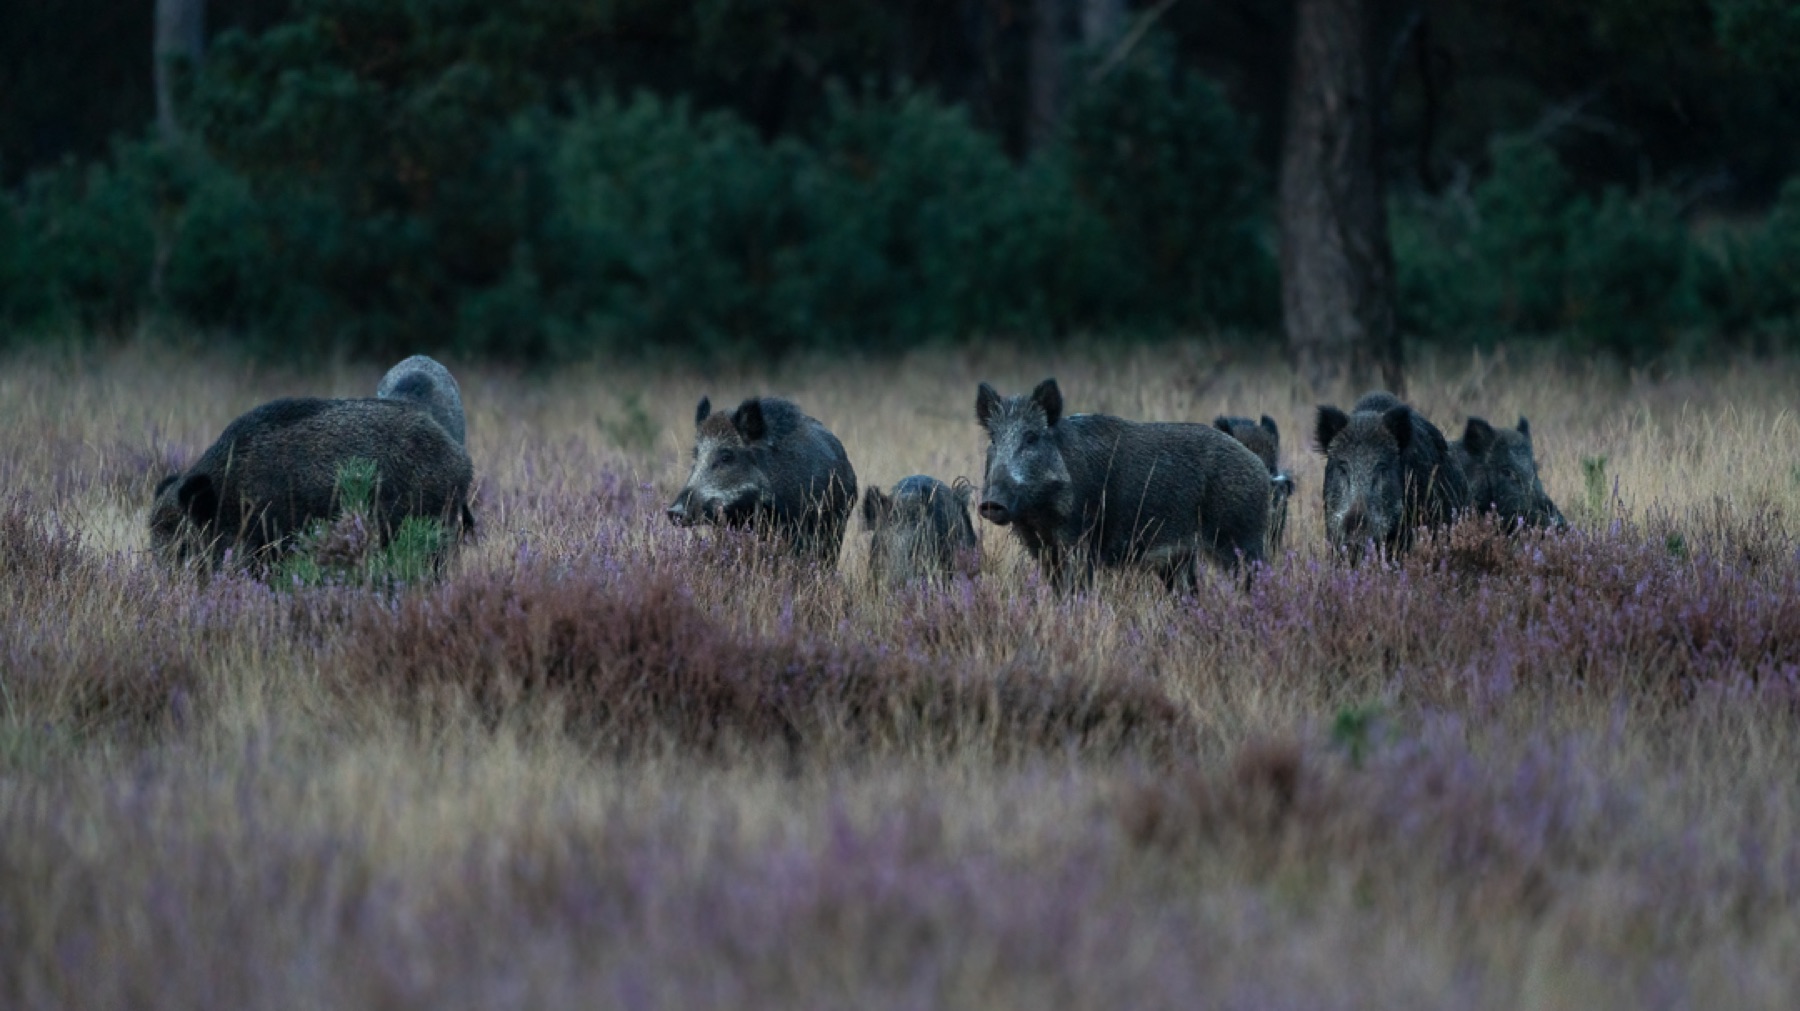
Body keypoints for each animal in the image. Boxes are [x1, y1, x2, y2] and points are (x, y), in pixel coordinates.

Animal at [975, 378, 1269, 590]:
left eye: (1031, 438)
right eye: (993, 439)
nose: (991, 502)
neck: (1041, 515)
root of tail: (1259, 467)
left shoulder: (1081, 543)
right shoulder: (1044, 551)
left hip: (1242, 540)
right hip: (1180, 560)